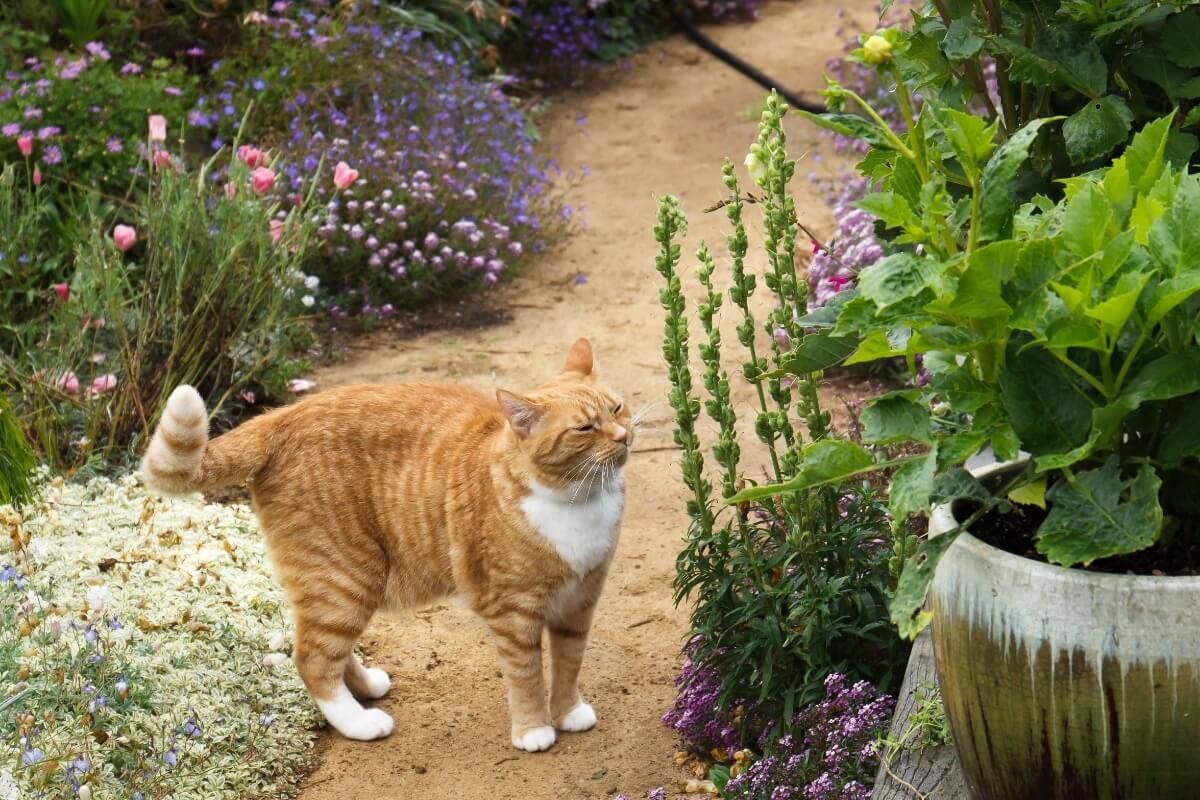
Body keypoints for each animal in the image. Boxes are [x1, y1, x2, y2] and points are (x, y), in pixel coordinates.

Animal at [140, 338, 633, 753]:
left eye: (617, 408)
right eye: (584, 428)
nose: (624, 436)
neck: (576, 499)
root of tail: (281, 415)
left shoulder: (579, 602)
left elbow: (568, 664)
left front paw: (568, 713)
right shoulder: (513, 612)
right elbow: (527, 674)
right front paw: (533, 729)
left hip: (340, 581)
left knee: (322, 645)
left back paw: (365, 688)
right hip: (348, 575)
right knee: (312, 657)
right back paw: (359, 723)